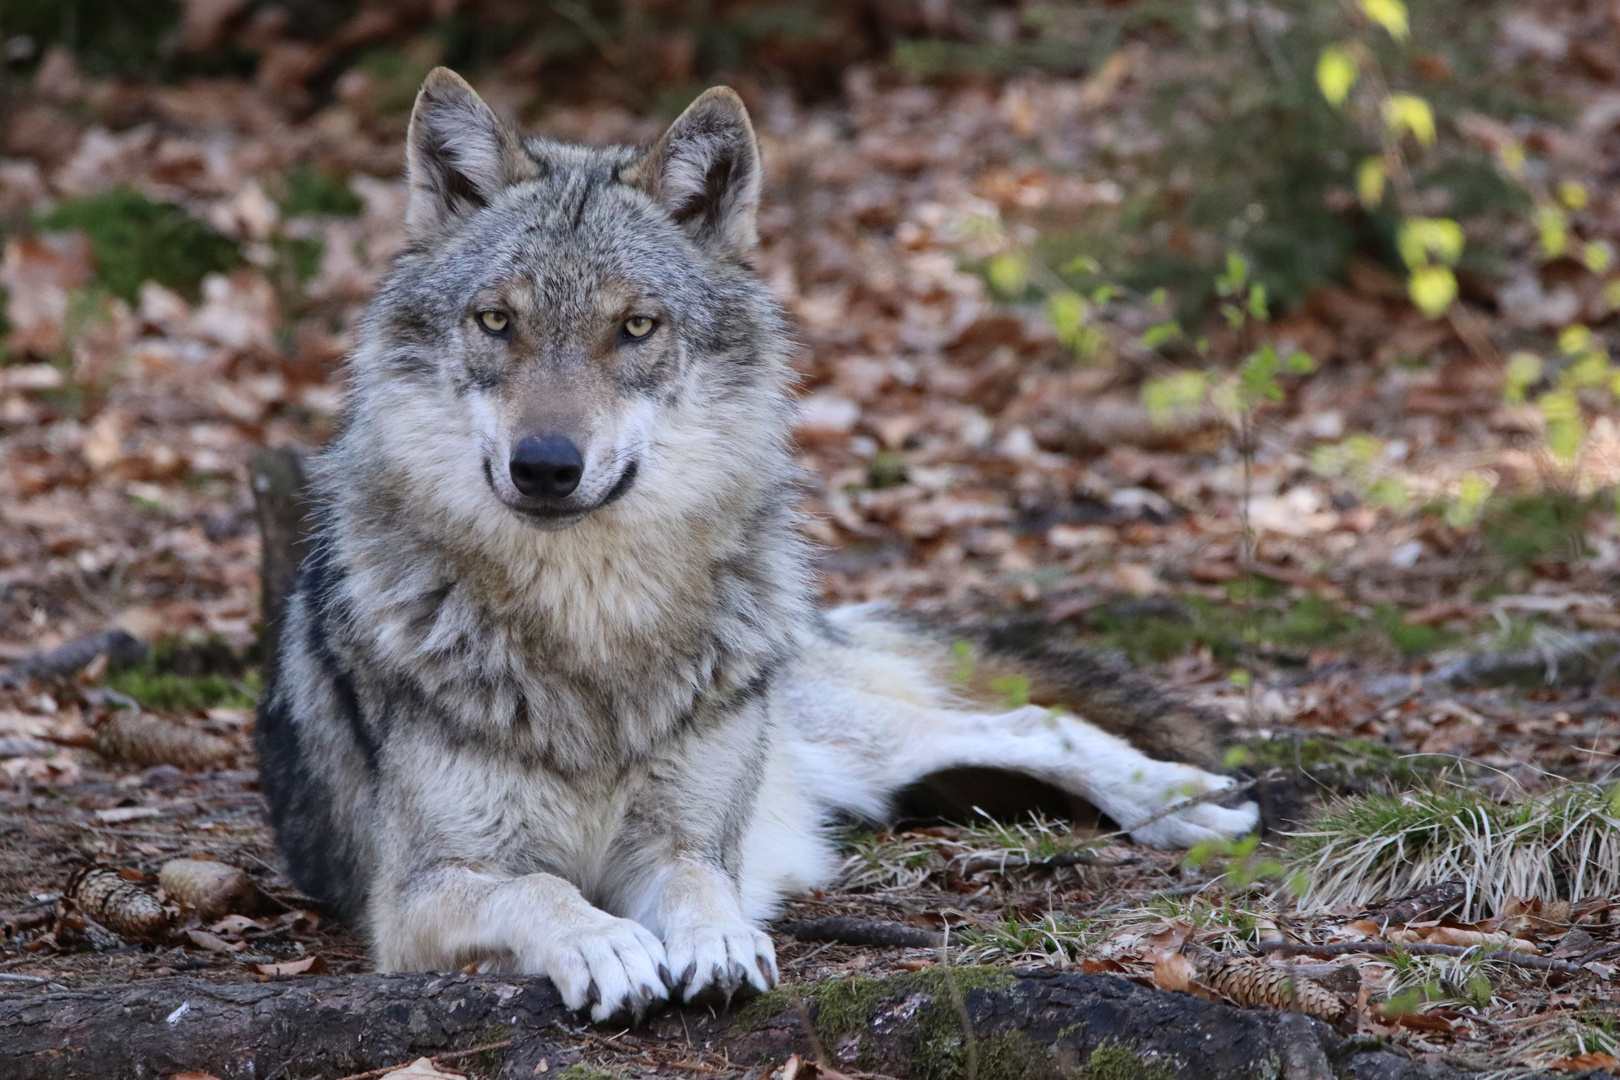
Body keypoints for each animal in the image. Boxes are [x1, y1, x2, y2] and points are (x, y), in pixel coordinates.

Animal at [255, 68, 1259, 1023]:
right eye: (497, 321)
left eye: (636, 326)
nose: (544, 466)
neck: (589, 622)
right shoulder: (412, 899)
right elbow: (540, 890)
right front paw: (606, 944)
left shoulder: (684, 840)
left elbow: (701, 884)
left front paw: (721, 941)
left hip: (840, 735)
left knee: (1029, 721)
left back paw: (1183, 803)